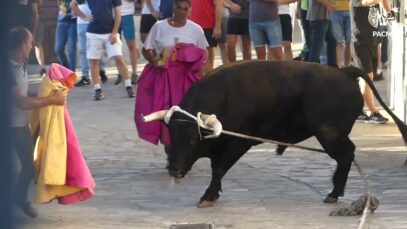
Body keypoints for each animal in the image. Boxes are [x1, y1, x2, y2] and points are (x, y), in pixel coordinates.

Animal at [145, 60, 406, 207]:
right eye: (170, 137)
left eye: (192, 138)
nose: (174, 170)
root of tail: (344, 72)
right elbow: (216, 168)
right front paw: (211, 195)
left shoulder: (236, 145)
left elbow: (218, 169)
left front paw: (208, 196)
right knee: (347, 155)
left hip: (329, 134)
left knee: (345, 155)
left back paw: (333, 193)